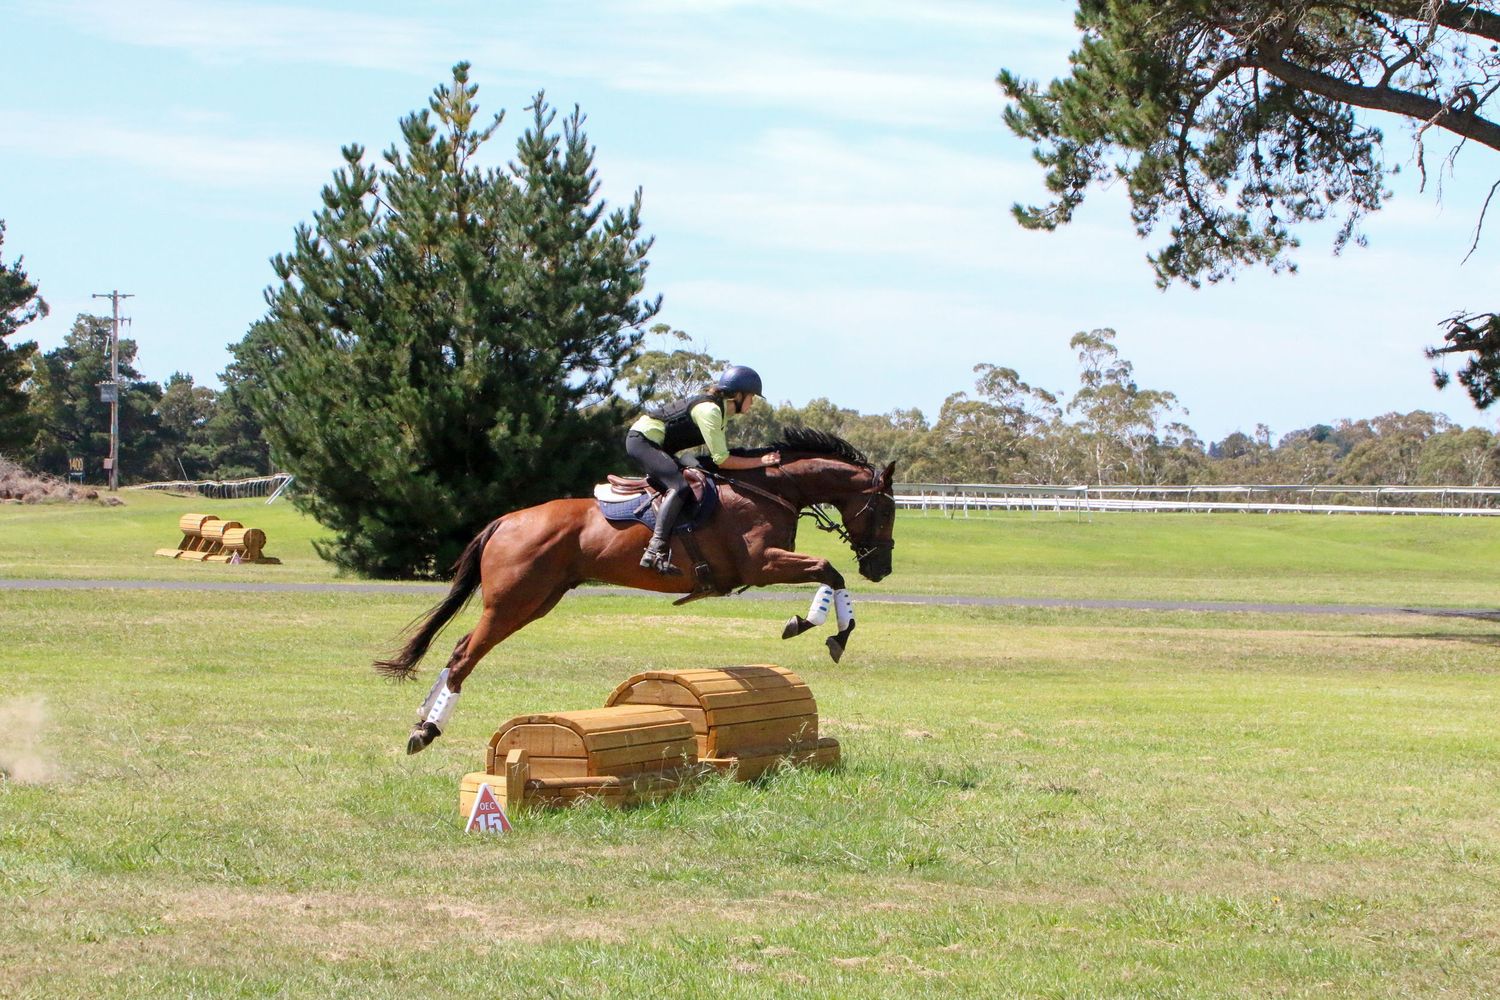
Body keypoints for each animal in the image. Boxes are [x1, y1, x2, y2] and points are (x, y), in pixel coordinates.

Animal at [374, 428, 898, 755]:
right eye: (887, 511)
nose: (882, 569)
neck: (771, 489)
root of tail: (506, 520)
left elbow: (831, 575)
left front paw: (829, 630)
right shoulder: (762, 563)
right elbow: (830, 571)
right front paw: (817, 627)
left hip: (535, 602)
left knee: (461, 649)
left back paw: (422, 719)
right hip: (513, 602)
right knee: (466, 655)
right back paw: (426, 729)